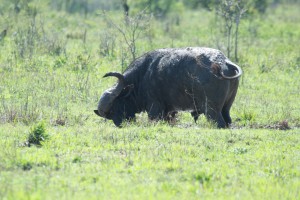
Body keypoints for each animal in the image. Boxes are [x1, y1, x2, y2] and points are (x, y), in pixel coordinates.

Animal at [95, 47, 243, 127]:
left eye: (116, 105)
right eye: (109, 115)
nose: (120, 124)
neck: (142, 75)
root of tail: (224, 62)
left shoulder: (155, 108)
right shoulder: (169, 111)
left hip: (212, 111)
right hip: (226, 108)